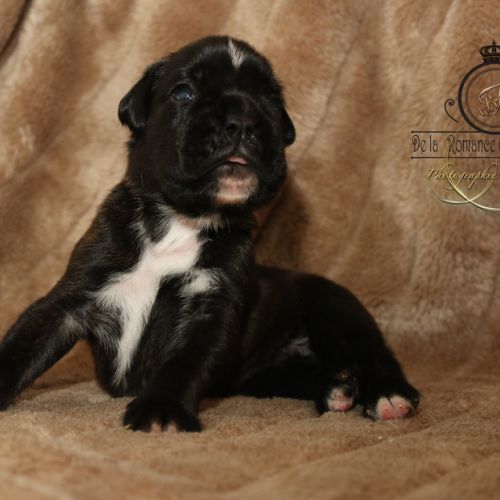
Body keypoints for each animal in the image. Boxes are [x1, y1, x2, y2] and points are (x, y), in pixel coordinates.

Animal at [0, 36, 419, 431]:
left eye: (270, 100)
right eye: (184, 92)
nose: (243, 119)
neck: (181, 221)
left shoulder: (210, 310)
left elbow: (185, 362)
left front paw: (161, 409)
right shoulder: (73, 297)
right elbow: (24, 344)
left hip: (338, 309)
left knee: (373, 353)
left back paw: (388, 395)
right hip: (263, 376)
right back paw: (335, 388)